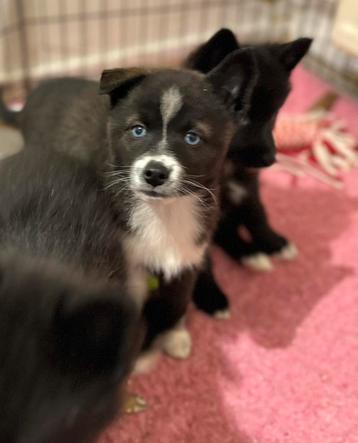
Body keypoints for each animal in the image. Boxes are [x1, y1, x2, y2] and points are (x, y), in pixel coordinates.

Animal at [186, 28, 312, 320]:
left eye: (274, 113)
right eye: (240, 114)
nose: (270, 159)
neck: (227, 169)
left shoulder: (249, 189)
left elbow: (257, 216)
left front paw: (273, 242)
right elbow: (202, 260)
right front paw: (211, 296)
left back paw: (252, 254)